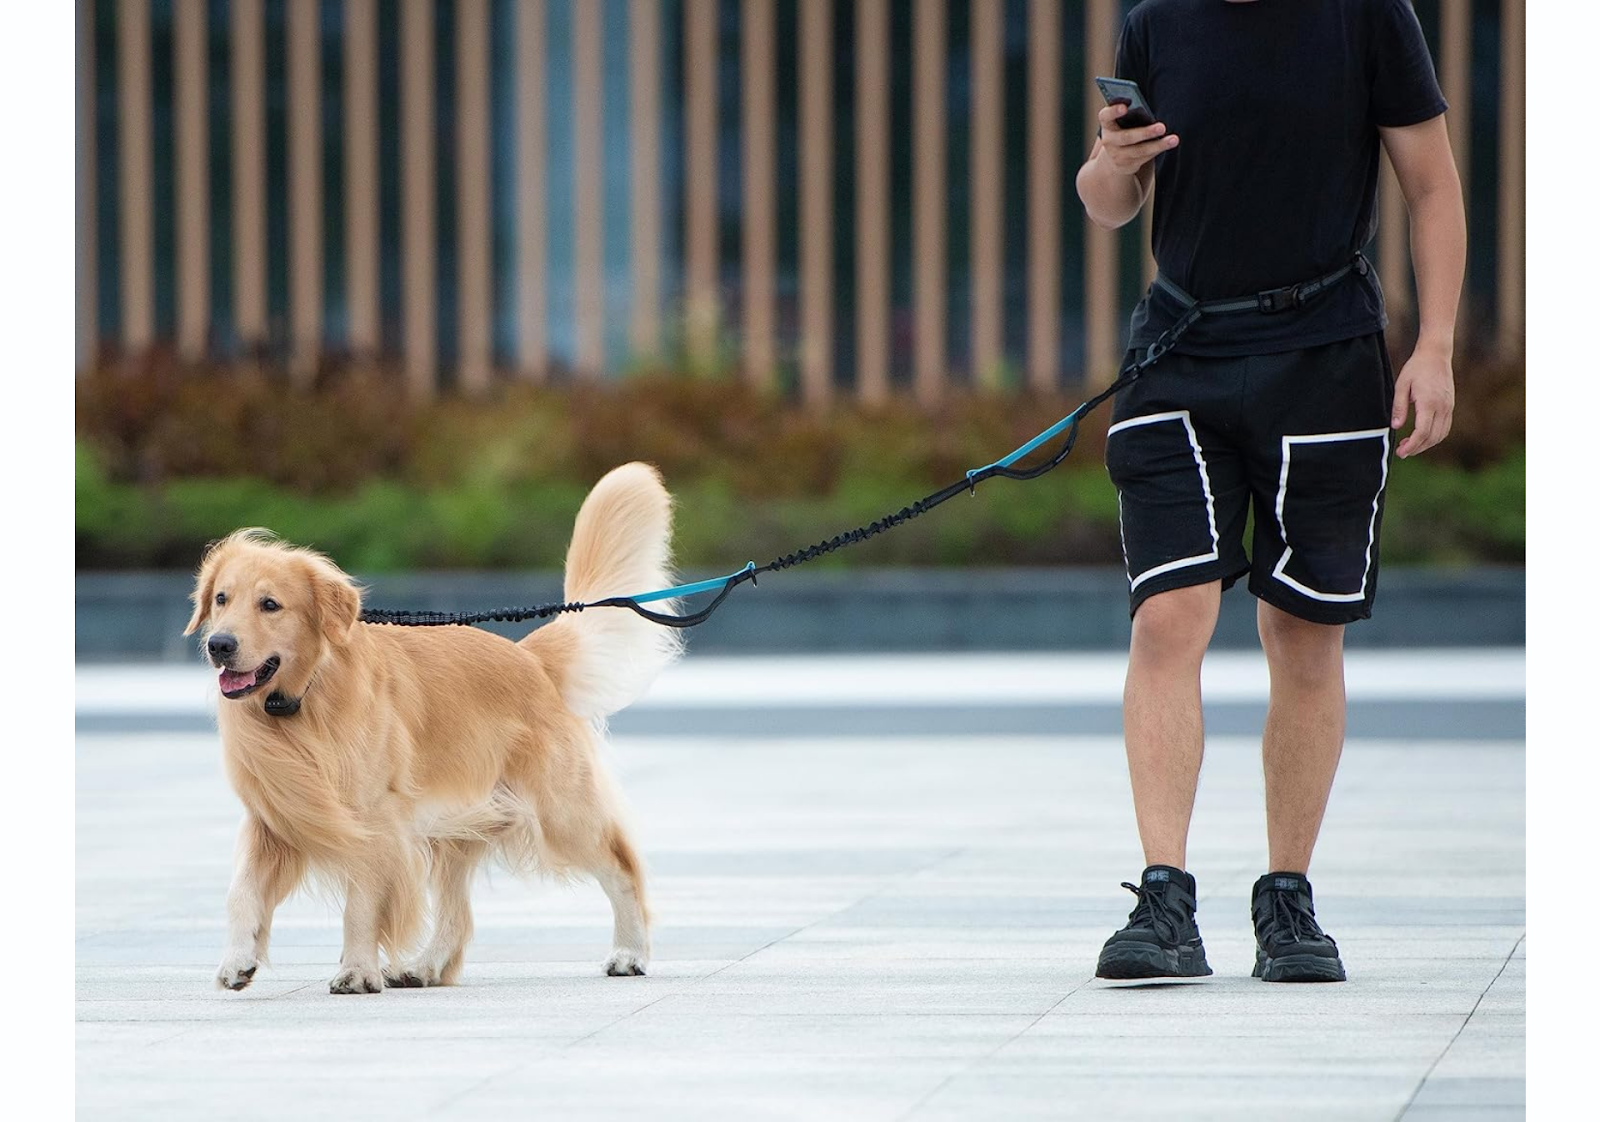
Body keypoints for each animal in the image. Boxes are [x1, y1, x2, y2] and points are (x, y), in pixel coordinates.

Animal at [183, 460, 681, 992]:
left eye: (270, 605)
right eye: (221, 599)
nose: (219, 644)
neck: (304, 700)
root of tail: (529, 658)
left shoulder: (373, 820)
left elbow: (361, 903)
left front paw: (356, 970)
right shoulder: (274, 816)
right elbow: (241, 891)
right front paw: (238, 960)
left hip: (561, 810)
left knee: (622, 869)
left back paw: (629, 953)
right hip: (452, 825)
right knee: (458, 912)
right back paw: (425, 965)